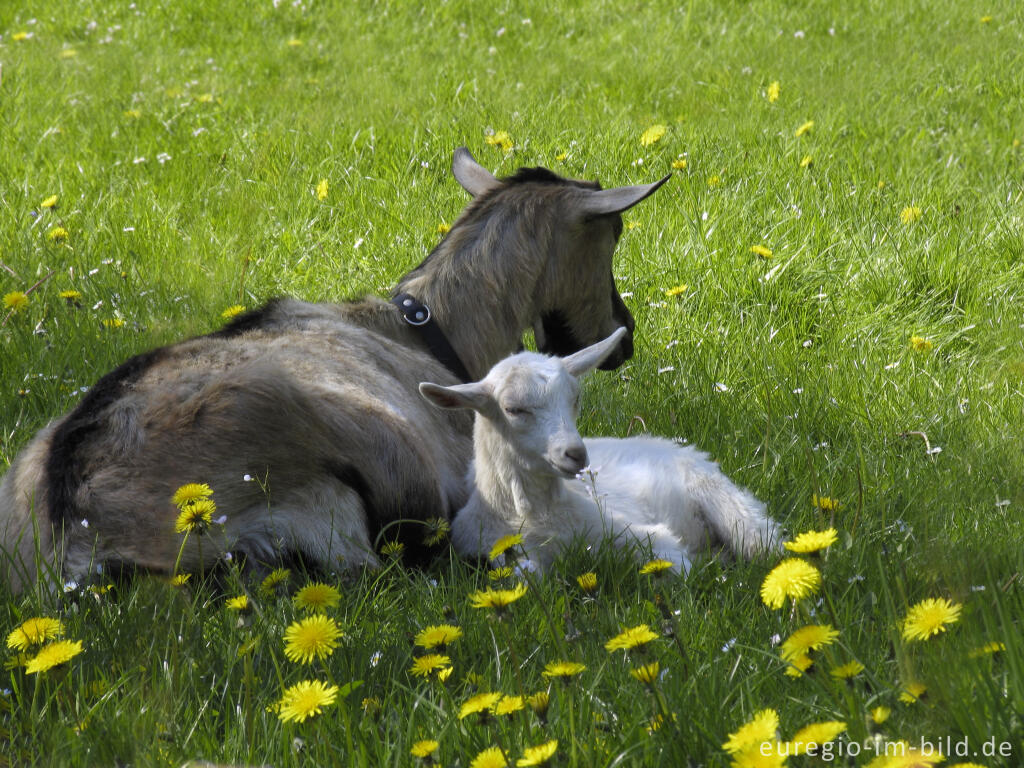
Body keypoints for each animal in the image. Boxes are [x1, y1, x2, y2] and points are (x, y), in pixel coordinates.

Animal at [419, 327, 778, 573]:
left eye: (575, 398)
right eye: (513, 409)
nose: (576, 454)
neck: (537, 516)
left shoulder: (640, 535)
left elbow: (678, 566)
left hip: (724, 501)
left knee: (761, 545)